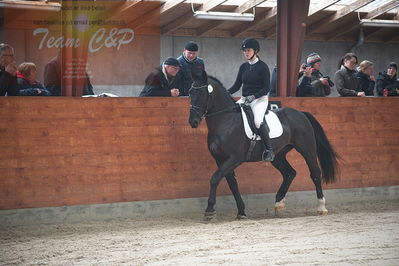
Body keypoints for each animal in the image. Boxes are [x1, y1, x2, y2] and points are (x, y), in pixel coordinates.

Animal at [189, 71, 340, 220]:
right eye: (190, 93)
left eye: (201, 93)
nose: (193, 122)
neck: (226, 120)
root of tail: (301, 113)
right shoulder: (220, 159)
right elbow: (232, 183)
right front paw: (241, 211)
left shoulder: (234, 158)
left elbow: (215, 178)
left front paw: (209, 210)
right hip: (278, 155)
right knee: (289, 173)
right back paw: (278, 204)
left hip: (307, 149)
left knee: (315, 173)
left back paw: (321, 207)